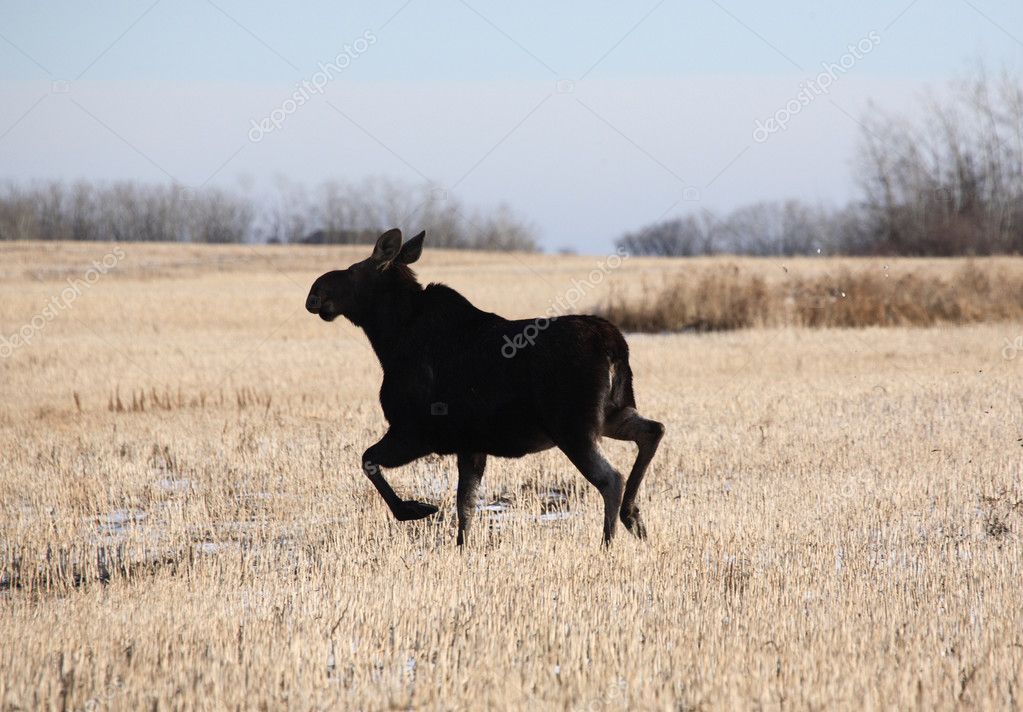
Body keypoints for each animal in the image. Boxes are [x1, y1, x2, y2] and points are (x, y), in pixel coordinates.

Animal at [302, 228, 666, 544]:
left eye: (353, 270)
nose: (314, 294)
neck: (388, 340)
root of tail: (614, 345)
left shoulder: (415, 431)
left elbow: (368, 459)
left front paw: (413, 509)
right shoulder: (470, 444)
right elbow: (466, 507)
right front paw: (461, 548)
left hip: (573, 426)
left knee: (611, 478)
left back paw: (608, 543)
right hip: (612, 412)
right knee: (653, 430)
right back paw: (635, 520)